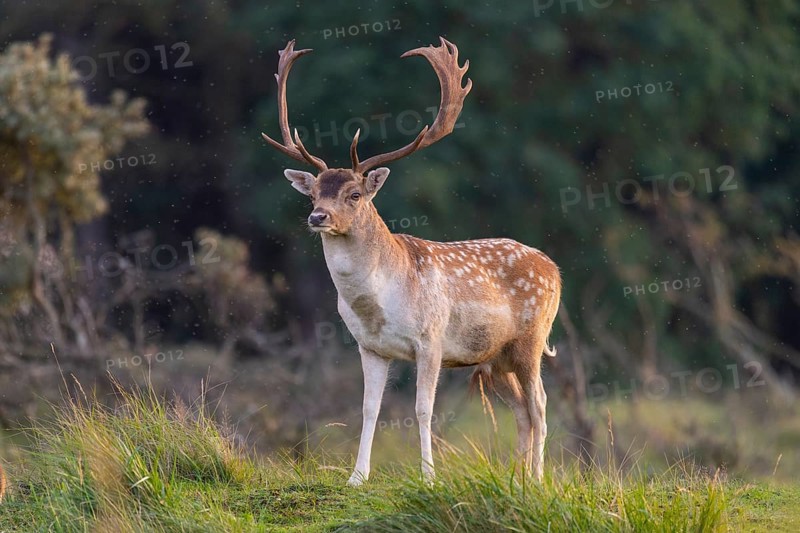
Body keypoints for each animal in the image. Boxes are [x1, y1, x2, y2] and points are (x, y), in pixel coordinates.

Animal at [262, 37, 561, 486]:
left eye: (354, 194)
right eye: (313, 193)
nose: (318, 217)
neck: (379, 303)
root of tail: (554, 269)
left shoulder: (431, 338)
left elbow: (423, 409)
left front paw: (428, 477)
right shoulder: (369, 346)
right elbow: (369, 408)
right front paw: (357, 477)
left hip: (532, 338)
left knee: (540, 404)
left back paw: (539, 480)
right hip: (494, 357)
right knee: (522, 411)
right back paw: (517, 480)